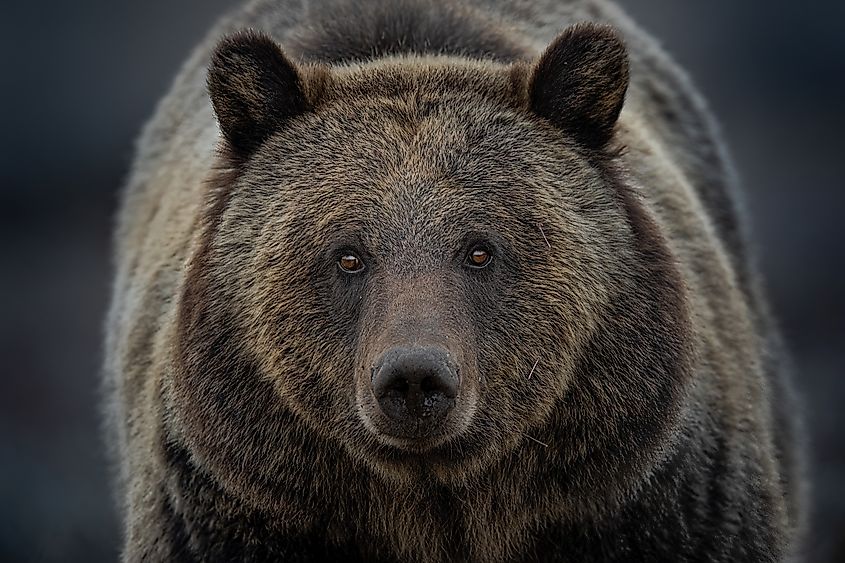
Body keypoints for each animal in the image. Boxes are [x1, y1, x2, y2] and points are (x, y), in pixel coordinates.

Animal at [104, 0, 804, 560]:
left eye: (479, 251)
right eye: (348, 255)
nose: (414, 378)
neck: (438, 501)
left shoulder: (655, 500)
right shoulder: (235, 504)